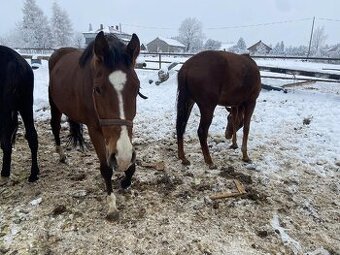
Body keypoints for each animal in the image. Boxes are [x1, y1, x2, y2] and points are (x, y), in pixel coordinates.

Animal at [0, 45, 39, 181]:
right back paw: (34, 173)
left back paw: (5, 172)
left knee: (6, 141)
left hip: (7, 107)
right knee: (32, 136)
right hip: (26, 103)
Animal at [48, 31, 141, 219]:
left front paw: (126, 181)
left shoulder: (122, 134)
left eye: (137, 88)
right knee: (55, 126)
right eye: (98, 89)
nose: (122, 158)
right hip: (55, 105)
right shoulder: (95, 130)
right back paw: (61, 155)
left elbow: (131, 165)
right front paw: (111, 204)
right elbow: (106, 168)